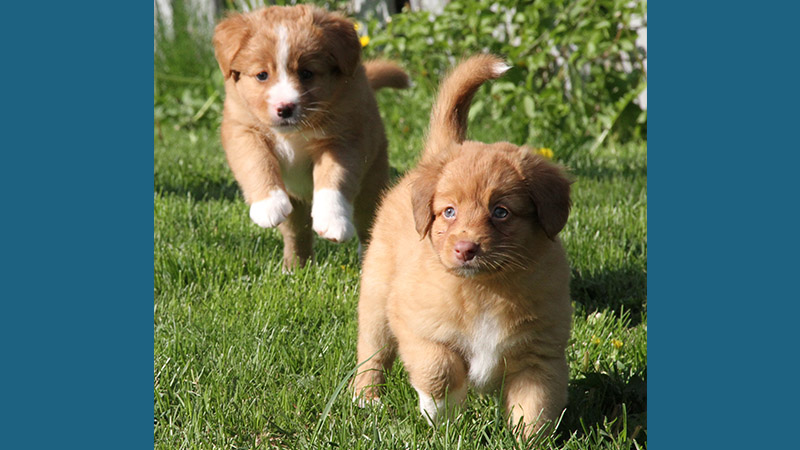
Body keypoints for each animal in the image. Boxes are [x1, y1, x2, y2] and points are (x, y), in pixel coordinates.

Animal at [211, 6, 406, 270]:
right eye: (262, 75)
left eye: (307, 73)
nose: (285, 108)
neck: (292, 134)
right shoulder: (242, 129)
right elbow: (256, 162)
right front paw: (268, 204)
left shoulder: (345, 139)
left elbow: (334, 177)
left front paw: (333, 221)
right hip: (295, 207)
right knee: (297, 233)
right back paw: (295, 267)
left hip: (372, 183)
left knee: (368, 226)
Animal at [354, 53, 572, 440]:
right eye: (449, 212)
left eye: (501, 211)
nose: (466, 249)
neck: (485, 289)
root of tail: (443, 149)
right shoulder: (416, 324)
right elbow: (439, 370)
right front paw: (440, 416)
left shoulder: (540, 355)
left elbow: (536, 407)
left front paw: (527, 441)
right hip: (377, 301)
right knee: (371, 352)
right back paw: (366, 398)